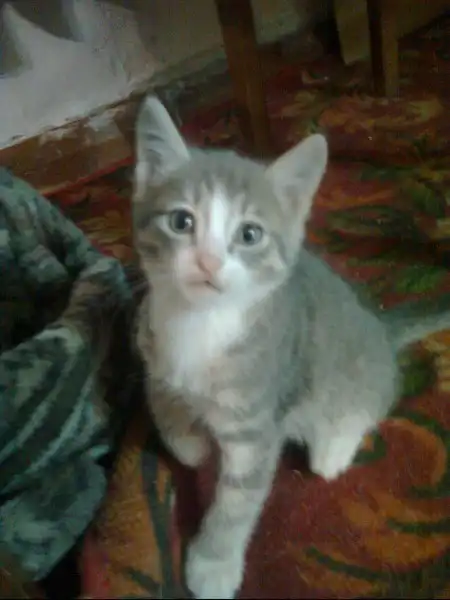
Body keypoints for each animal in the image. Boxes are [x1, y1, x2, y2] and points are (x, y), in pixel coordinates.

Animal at [132, 96, 450, 599]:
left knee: (368, 405)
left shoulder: (259, 425)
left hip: (355, 383)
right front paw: (188, 441)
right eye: (181, 221)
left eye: (249, 234)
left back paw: (335, 446)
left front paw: (213, 565)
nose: (208, 261)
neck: (201, 325)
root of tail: (380, 326)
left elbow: (237, 503)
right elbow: (162, 399)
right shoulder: (150, 342)